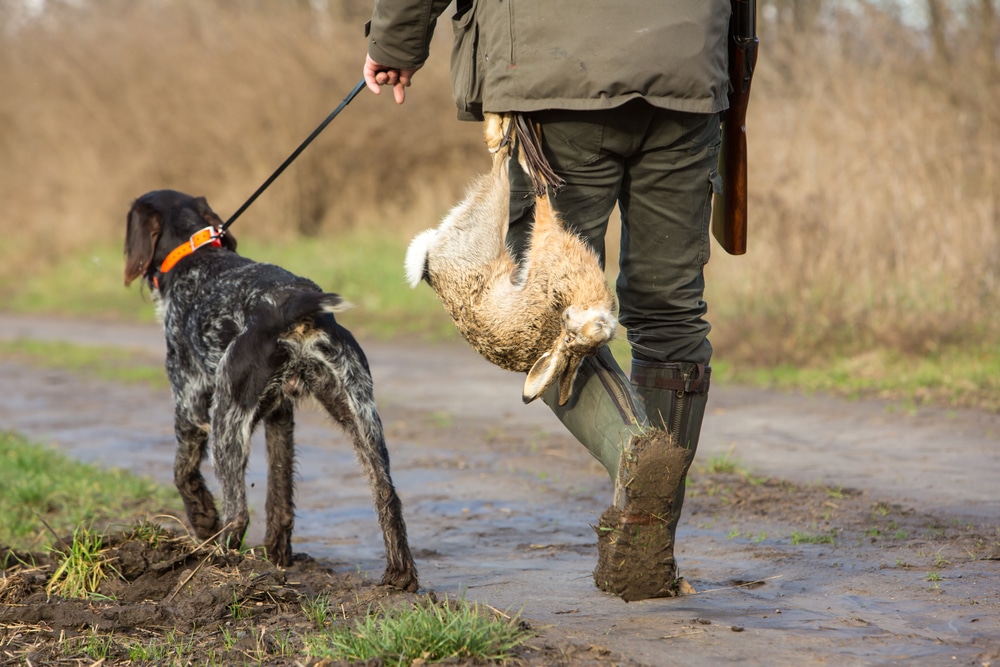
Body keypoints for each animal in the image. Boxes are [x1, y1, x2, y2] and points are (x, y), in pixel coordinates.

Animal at [122, 189, 418, 588]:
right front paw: (277, 556)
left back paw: (214, 563)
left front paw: (203, 519)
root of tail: (290, 305)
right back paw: (400, 576)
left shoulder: (189, 405)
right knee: (386, 493)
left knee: (237, 514)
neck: (194, 256)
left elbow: (182, 473)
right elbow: (280, 494)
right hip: (361, 414)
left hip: (225, 420)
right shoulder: (281, 415)